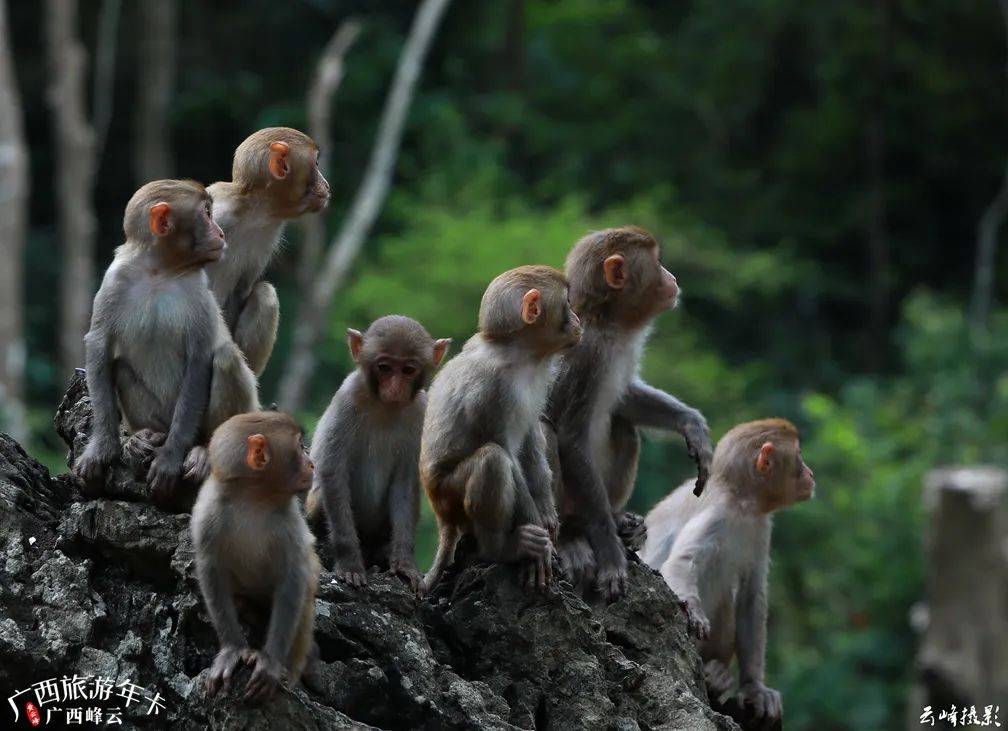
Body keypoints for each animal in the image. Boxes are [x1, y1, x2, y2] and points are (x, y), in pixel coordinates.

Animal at [204, 125, 330, 373]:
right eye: (316, 164)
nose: (327, 184)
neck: (254, 212)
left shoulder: (270, 232)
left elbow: (242, 291)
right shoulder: (218, 213)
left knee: (265, 294)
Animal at [304, 314, 451, 592]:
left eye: (408, 370)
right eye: (384, 367)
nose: (395, 389)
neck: (385, 407)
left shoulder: (421, 412)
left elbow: (406, 482)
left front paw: (404, 564)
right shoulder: (347, 398)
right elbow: (332, 472)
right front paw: (349, 563)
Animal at [419, 266, 584, 588]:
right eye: (568, 303)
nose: (578, 320)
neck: (521, 356)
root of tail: (441, 517)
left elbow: (530, 435)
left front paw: (546, 509)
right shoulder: (491, 390)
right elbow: (505, 449)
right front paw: (538, 538)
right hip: (449, 497)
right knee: (493, 459)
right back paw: (501, 548)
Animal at [548, 226, 713, 596]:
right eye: (657, 262)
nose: (673, 276)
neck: (607, 324)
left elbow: (625, 401)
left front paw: (692, 424)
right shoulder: (586, 354)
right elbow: (570, 437)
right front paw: (610, 554)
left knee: (624, 426)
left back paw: (617, 517)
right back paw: (570, 535)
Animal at [641, 419, 814, 721]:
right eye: (799, 456)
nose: (811, 473)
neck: (741, 501)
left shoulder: (761, 526)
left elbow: (751, 597)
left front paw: (754, 687)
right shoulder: (717, 515)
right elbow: (681, 562)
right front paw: (694, 611)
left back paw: (717, 675)